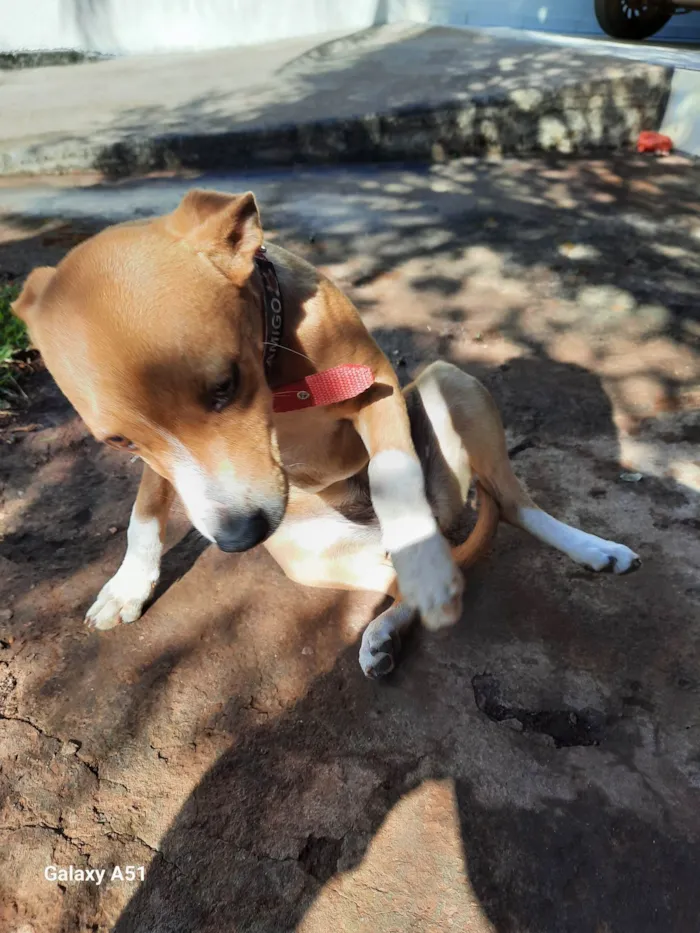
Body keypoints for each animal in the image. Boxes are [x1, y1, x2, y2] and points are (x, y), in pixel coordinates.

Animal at [13, 187, 644, 676]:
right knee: (398, 581)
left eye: (224, 386)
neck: (276, 371)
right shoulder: (156, 463)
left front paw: (425, 562)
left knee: (512, 507)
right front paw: (127, 587)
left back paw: (587, 550)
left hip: (451, 381)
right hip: (309, 560)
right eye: (117, 442)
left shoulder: (377, 388)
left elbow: (392, 471)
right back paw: (385, 631)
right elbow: (144, 512)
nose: (238, 539)